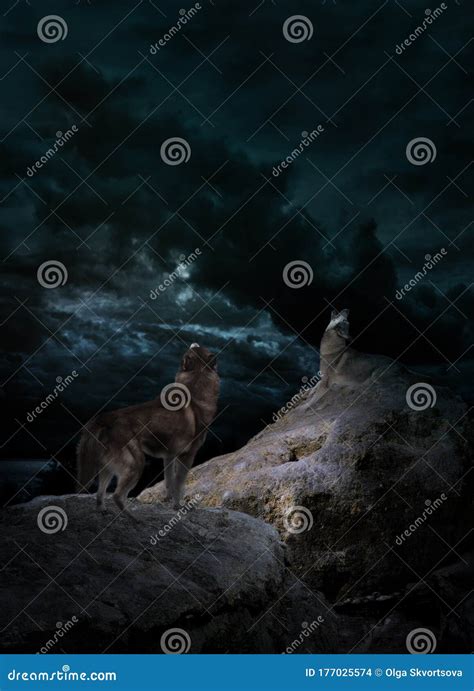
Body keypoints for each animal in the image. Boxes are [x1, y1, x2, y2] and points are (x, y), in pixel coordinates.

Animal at [76, 343, 219, 513]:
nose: (193, 343)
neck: (196, 386)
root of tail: (105, 418)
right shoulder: (187, 455)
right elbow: (179, 484)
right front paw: (179, 506)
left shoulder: (169, 456)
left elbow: (169, 481)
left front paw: (167, 500)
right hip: (136, 464)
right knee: (117, 495)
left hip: (108, 466)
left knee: (100, 493)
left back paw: (104, 510)